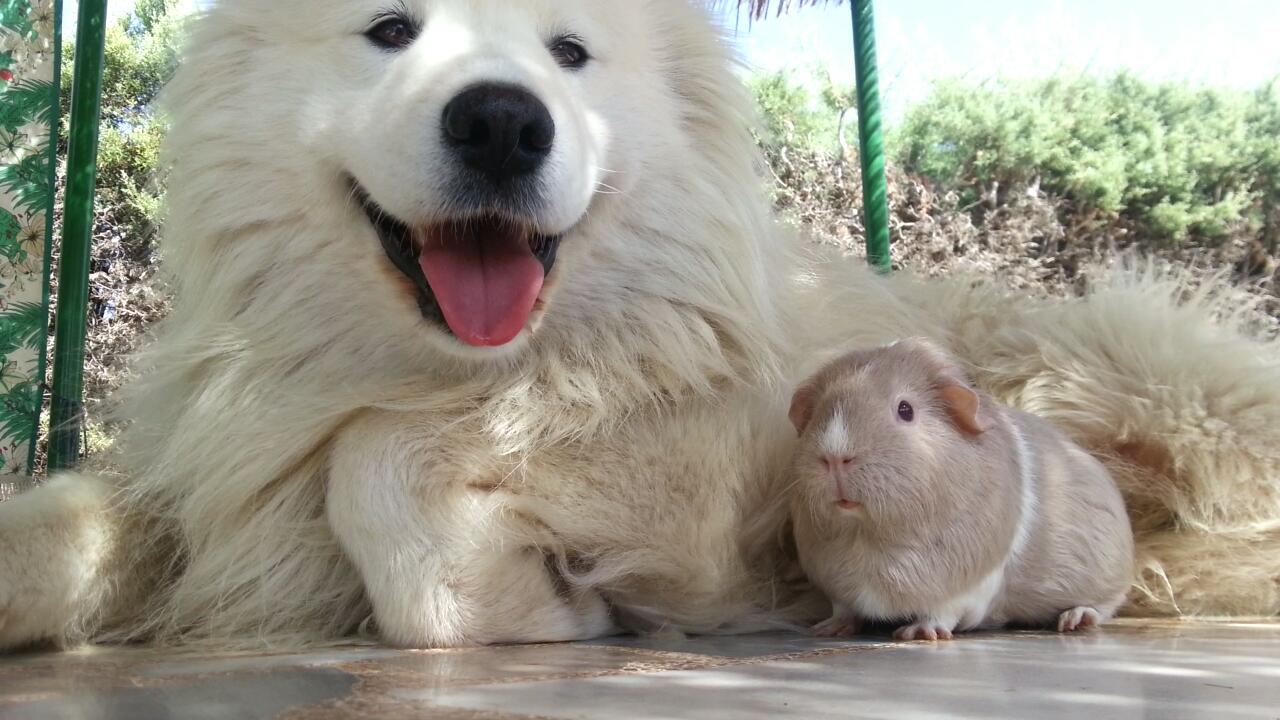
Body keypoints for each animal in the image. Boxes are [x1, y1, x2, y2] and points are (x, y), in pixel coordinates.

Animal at [1, 0, 1277, 650]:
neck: (456, 367)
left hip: (1124, 378)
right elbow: (66, 531)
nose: (503, 124)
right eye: (391, 28)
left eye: (569, 52)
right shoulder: (216, 481)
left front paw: (532, 601)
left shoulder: (724, 472)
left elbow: (375, 468)